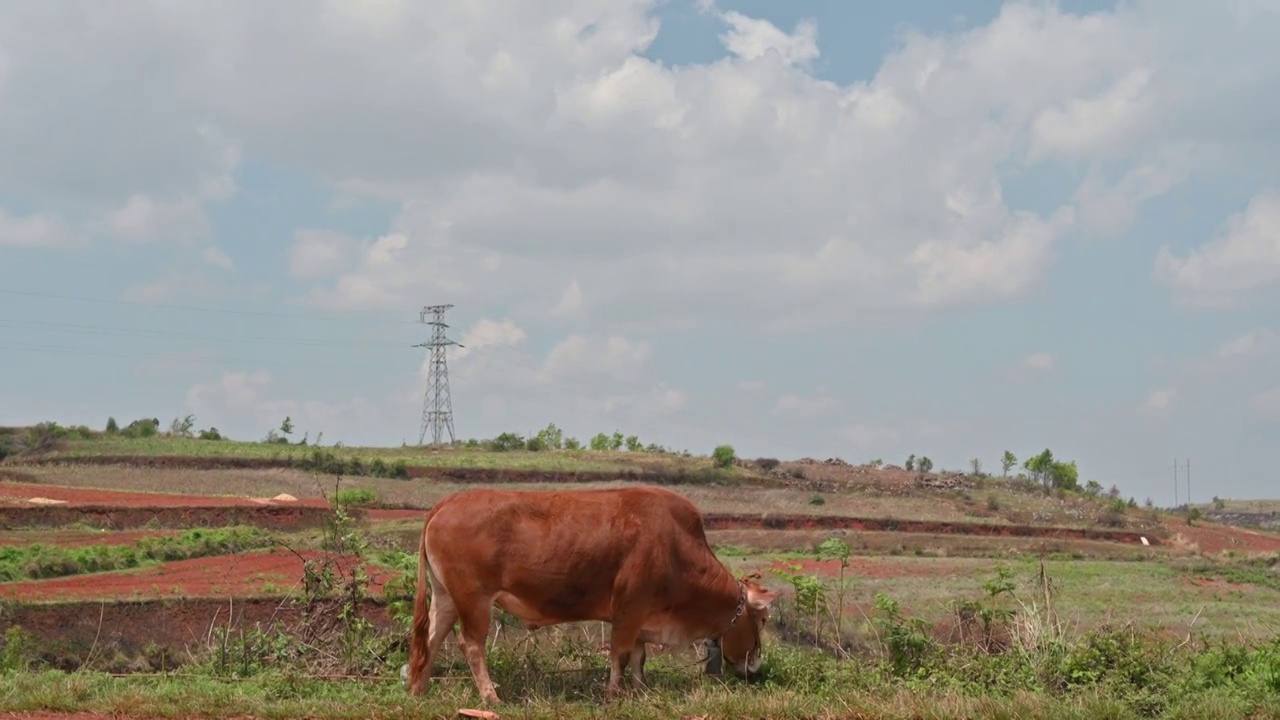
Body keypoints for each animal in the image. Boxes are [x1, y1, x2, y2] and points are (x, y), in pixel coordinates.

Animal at [404, 481, 778, 702]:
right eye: (761, 621)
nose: (756, 667)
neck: (676, 546)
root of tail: (448, 502)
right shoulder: (629, 608)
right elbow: (620, 654)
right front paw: (613, 693)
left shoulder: (640, 616)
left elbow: (639, 656)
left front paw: (640, 688)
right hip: (474, 600)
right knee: (470, 645)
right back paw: (490, 697)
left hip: (446, 597)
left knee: (431, 638)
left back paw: (418, 689)